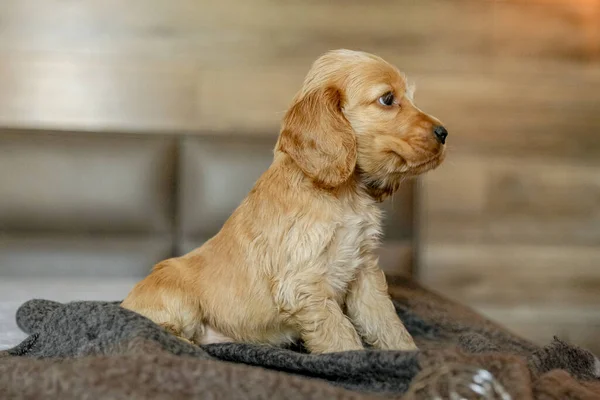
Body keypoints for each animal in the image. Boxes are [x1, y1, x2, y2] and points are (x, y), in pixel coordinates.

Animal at [122, 49, 448, 354]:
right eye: (387, 99)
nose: (444, 133)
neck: (343, 194)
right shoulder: (303, 282)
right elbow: (340, 337)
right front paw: (356, 362)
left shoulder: (363, 271)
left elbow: (386, 321)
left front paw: (405, 354)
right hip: (176, 293)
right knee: (161, 329)